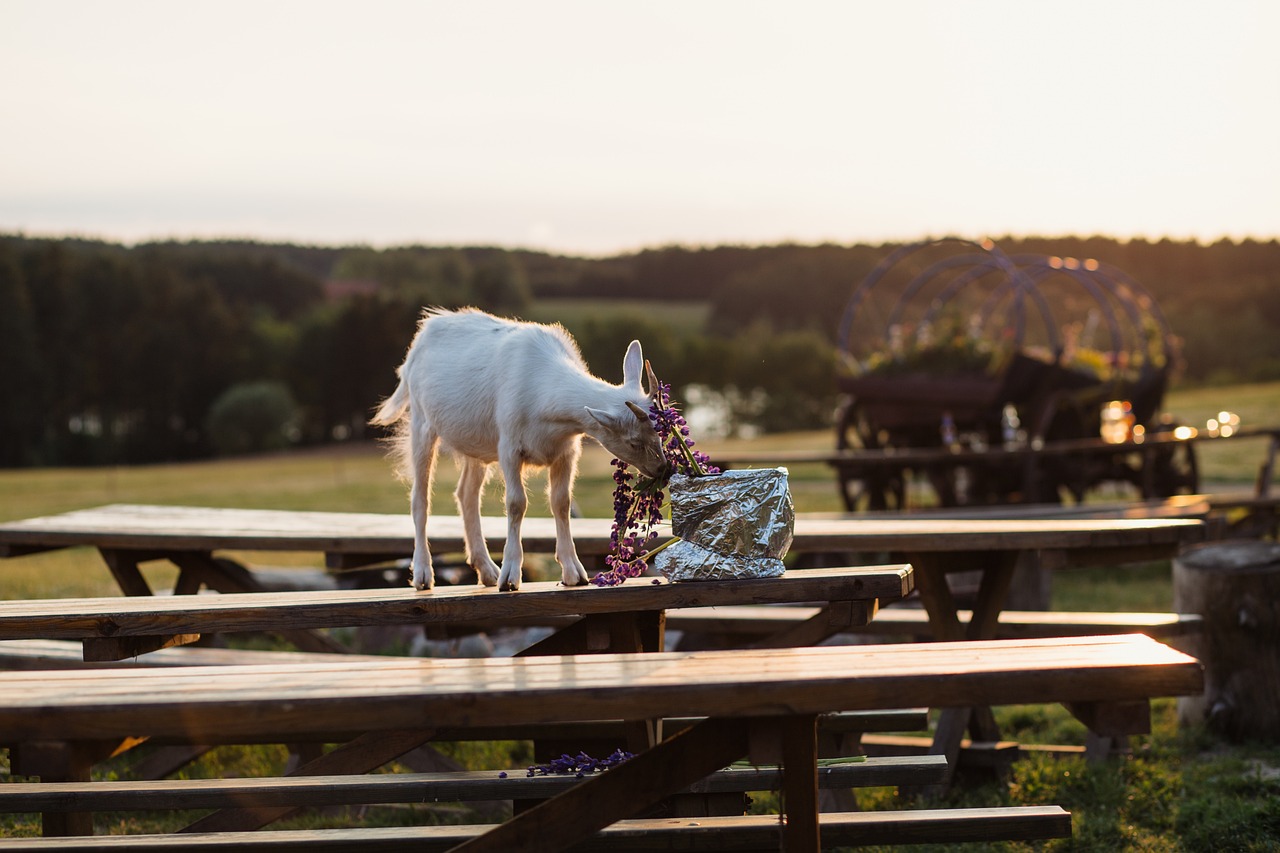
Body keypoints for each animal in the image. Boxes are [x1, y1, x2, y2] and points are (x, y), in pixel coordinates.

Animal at [371, 307, 670, 591]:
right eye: (633, 441)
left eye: (660, 433)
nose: (663, 469)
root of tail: (423, 334)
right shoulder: (509, 447)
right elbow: (516, 503)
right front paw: (510, 577)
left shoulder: (566, 452)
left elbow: (561, 502)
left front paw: (574, 573)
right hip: (421, 423)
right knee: (420, 497)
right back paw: (424, 575)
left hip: (475, 445)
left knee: (467, 494)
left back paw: (487, 572)